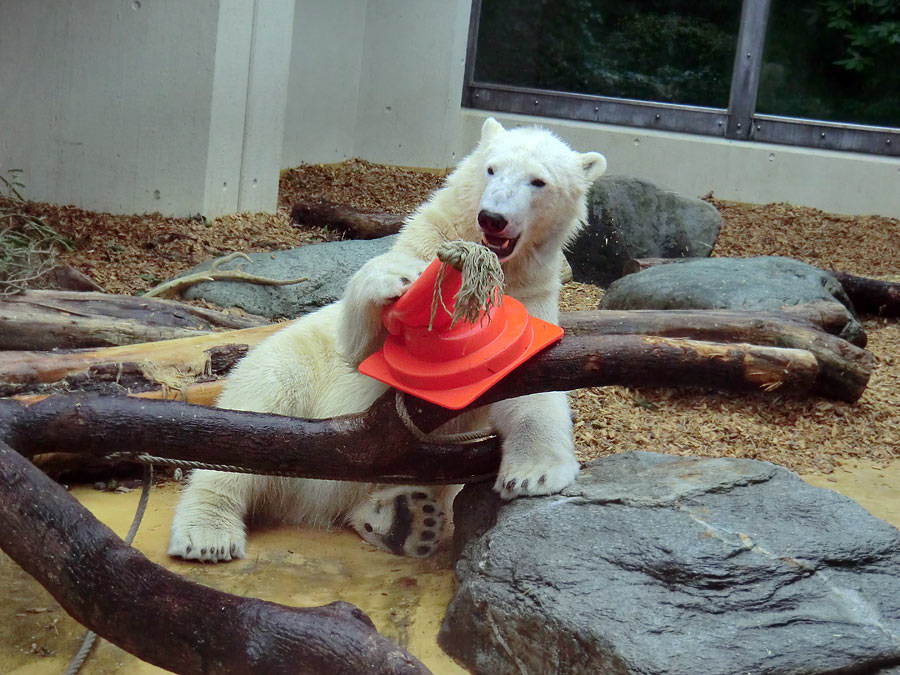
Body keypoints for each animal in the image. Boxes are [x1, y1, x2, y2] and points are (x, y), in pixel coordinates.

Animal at [167, 119, 604, 564]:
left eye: (538, 181)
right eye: (491, 169)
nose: (493, 218)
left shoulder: (530, 303)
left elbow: (528, 382)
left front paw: (535, 473)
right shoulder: (422, 255)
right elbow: (368, 350)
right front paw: (395, 281)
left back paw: (405, 519)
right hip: (288, 364)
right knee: (257, 416)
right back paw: (209, 533)